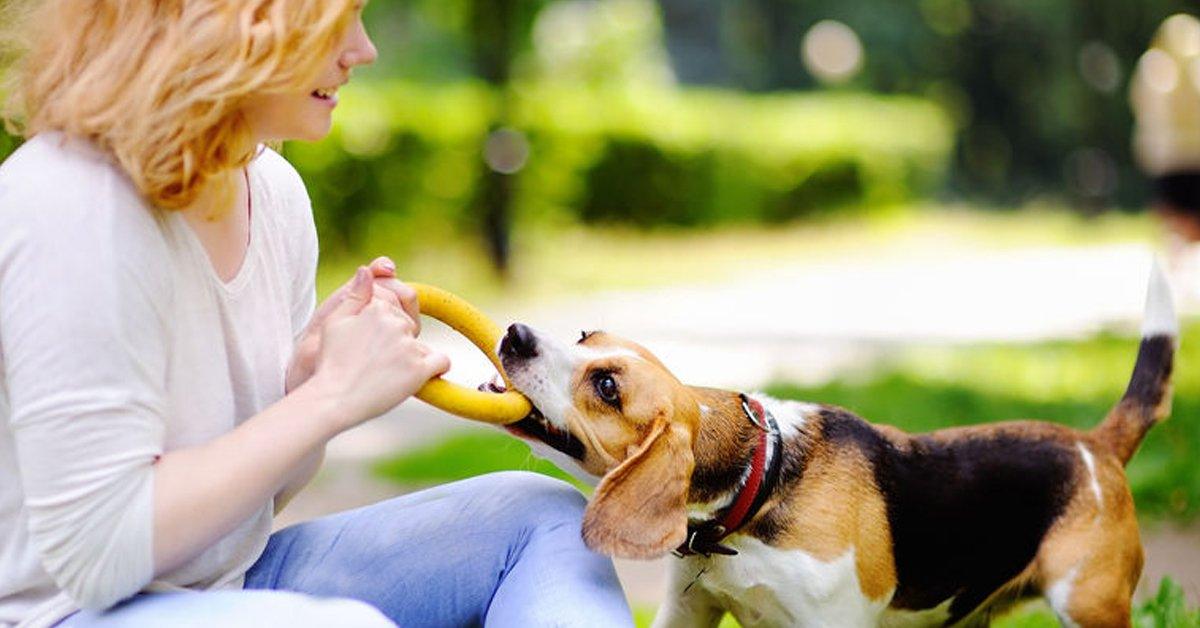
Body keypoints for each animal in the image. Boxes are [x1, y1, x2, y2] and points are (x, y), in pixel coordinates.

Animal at [492, 266, 1176, 628]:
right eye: (586, 335)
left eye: (607, 386)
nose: (515, 333)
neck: (759, 480)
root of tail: (1093, 443)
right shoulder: (688, 609)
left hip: (1087, 604)